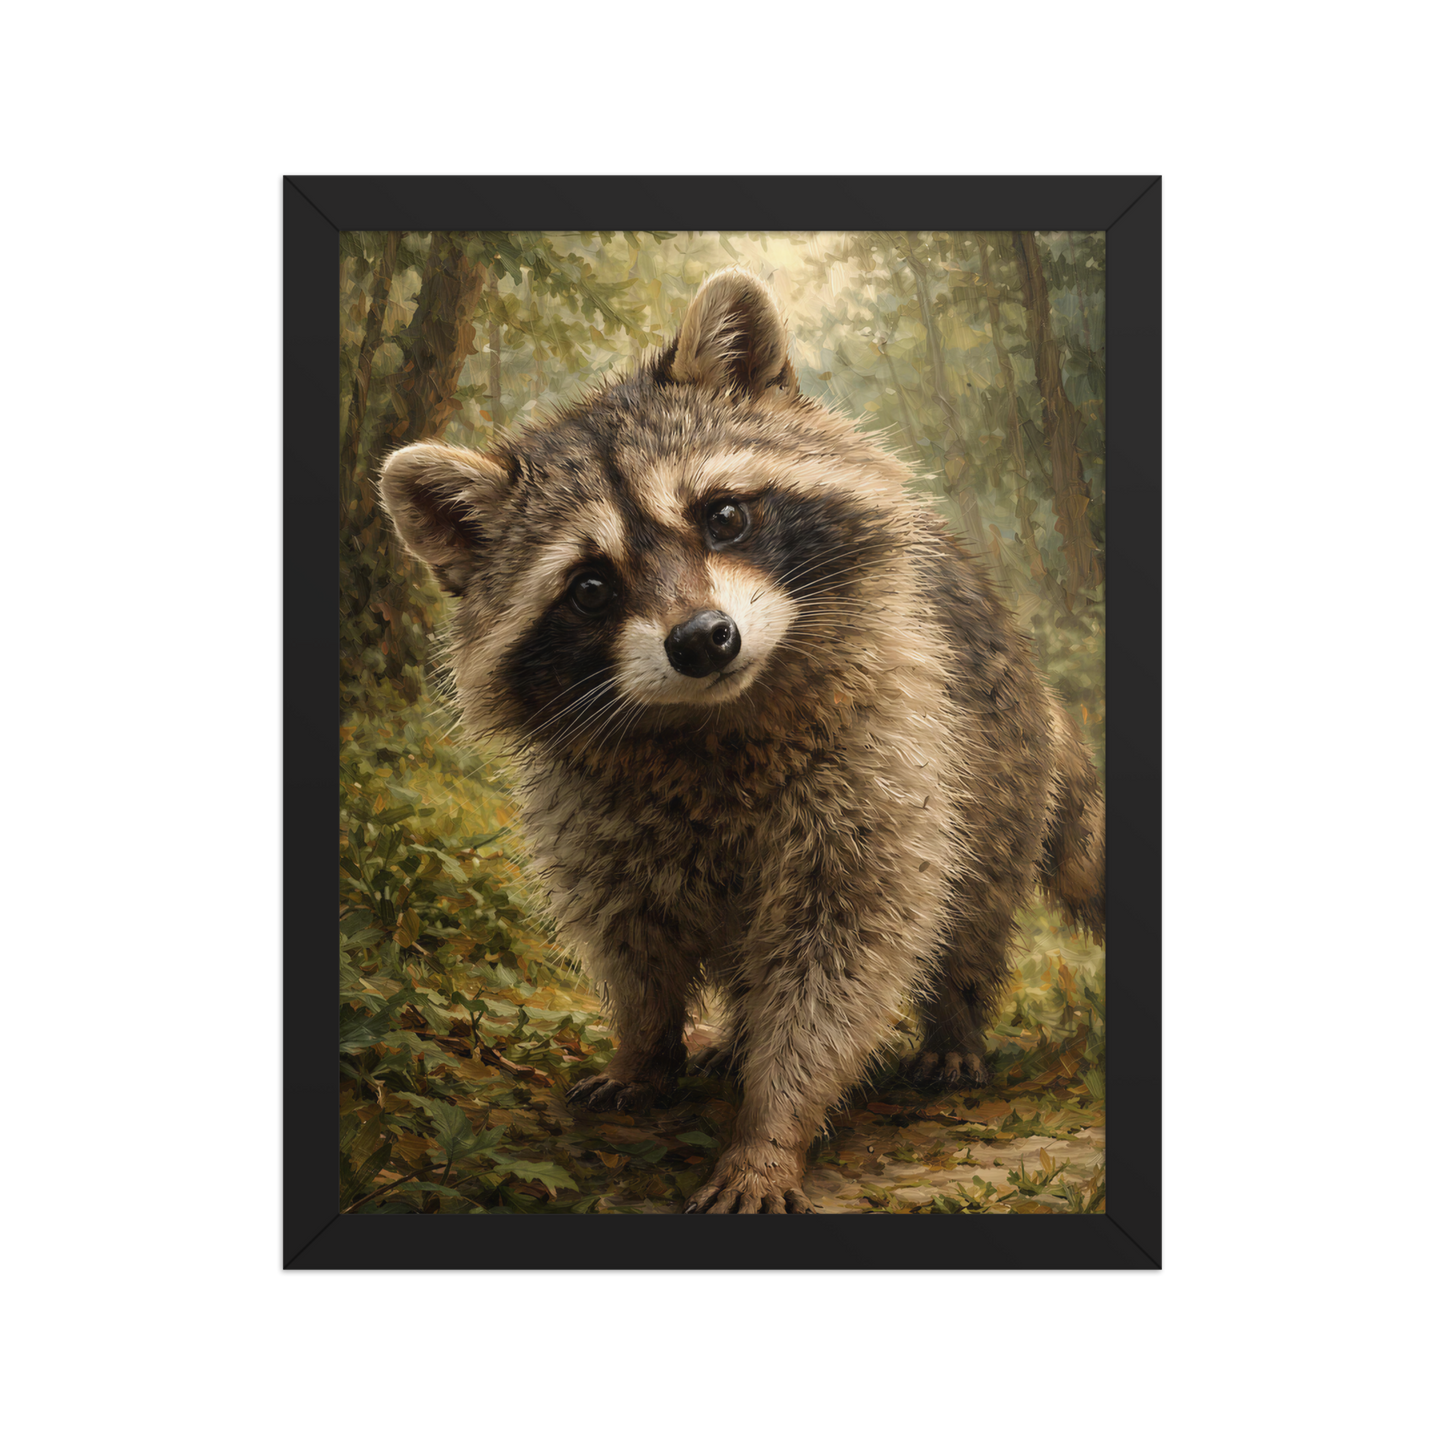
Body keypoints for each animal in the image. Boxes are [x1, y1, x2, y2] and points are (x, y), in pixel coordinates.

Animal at [378, 266, 1104, 1214]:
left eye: (722, 515)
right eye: (589, 586)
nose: (701, 640)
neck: (710, 721)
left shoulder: (885, 755)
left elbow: (842, 955)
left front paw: (771, 1126)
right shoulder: (588, 808)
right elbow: (631, 939)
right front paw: (644, 1046)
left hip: (995, 761)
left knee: (971, 906)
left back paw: (953, 1018)